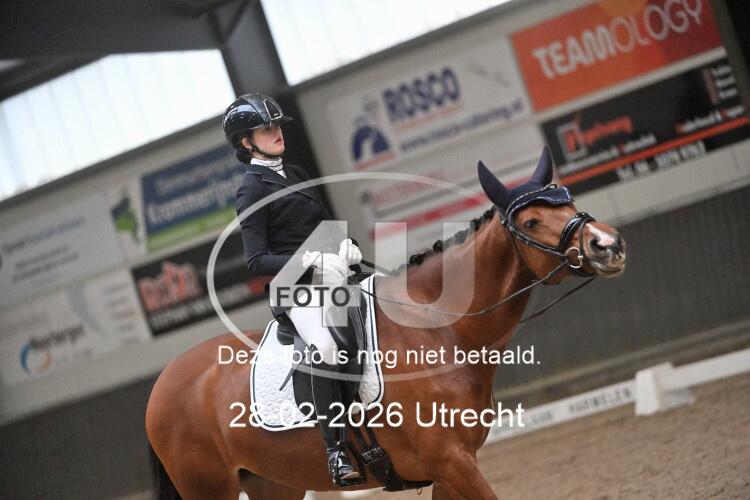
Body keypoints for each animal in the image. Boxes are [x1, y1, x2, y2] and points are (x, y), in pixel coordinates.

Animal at [146, 148, 626, 499]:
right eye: (531, 220)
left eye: (569, 200)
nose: (608, 245)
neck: (438, 328)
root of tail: (164, 381)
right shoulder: (451, 461)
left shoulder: (453, 467)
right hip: (209, 488)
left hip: (272, 482)